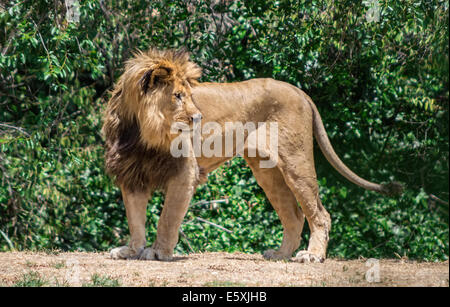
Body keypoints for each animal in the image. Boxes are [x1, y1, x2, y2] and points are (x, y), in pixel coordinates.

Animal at [103, 48, 402, 264]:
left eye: (189, 95)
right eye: (177, 96)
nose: (198, 117)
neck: (141, 134)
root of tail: (298, 90)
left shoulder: (183, 173)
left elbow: (167, 218)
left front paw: (157, 252)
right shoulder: (131, 174)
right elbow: (135, 219)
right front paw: (131, 250)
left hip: (297, 162)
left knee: (320, 213)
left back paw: (312, 255)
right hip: (267, 172)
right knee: (294, 215)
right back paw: (280, 255)